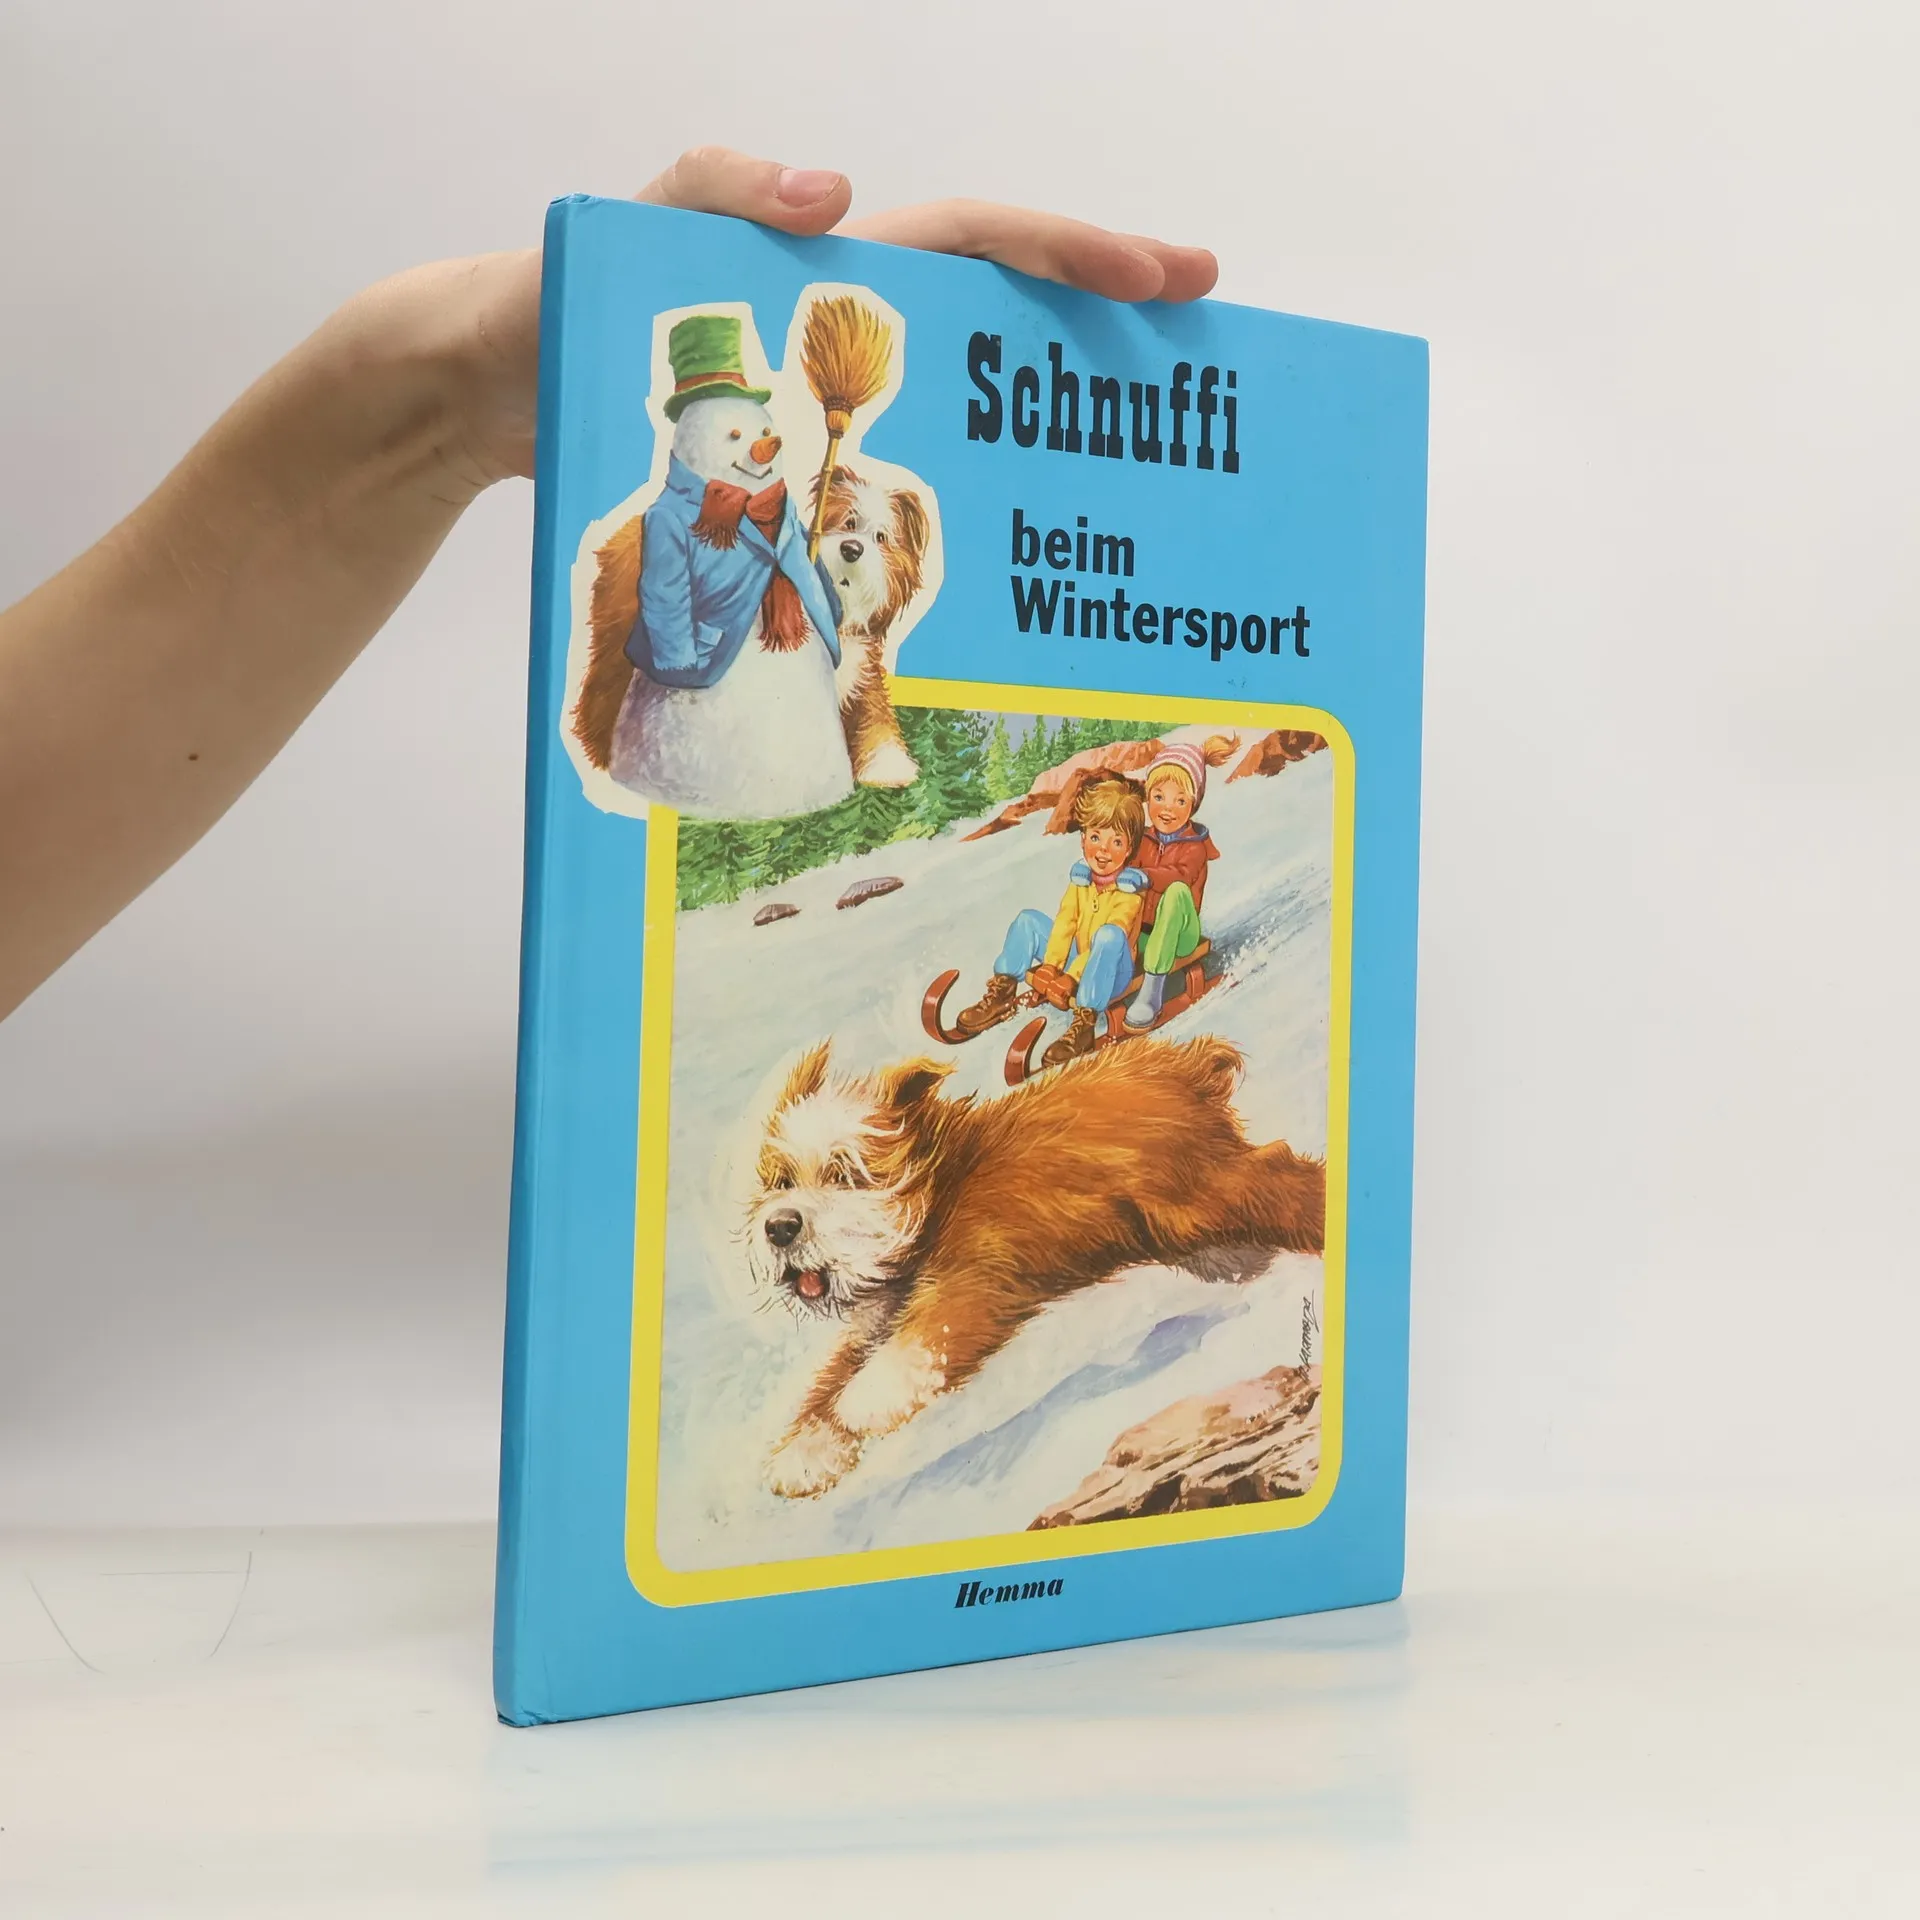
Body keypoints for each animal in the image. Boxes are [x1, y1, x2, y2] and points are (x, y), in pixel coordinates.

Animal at [746, 1035, 1325, 1498]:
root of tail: (1184, 1064)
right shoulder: (878, 1320)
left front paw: (859, 1407)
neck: (936, 1197)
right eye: (781, 1180)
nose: (781, 1227)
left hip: (1205, 1194)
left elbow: (913, 1353)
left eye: (844, 1173)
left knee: (1283, 1178)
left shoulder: (973, 1281)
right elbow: (831, 1376)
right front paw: (805, 1452)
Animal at [811, 466, 932, 788]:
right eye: (849, 522)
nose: (852, 548)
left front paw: (888, 768)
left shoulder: (865, 681)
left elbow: (878, 722)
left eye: (880, 536)